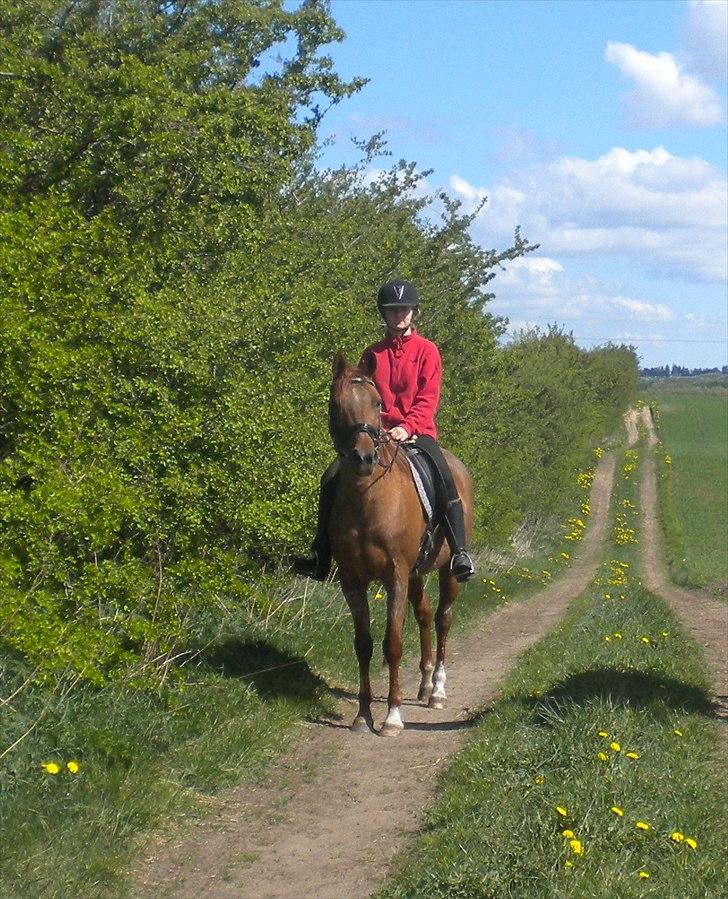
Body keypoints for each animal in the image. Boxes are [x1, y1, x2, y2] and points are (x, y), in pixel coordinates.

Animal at [324, 352, 472, 740]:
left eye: (378, 403)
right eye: (336, 405)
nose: (363, 458)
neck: (368, 500)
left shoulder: (395, 576)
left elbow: (392, 644)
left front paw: (392, 716)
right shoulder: (352, 581)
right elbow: (363, 644)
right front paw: (363, 715)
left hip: (447, 571)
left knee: (443, 617)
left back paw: (437, 690)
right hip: (417, 574)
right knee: (424, 615)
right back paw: (423, 684)